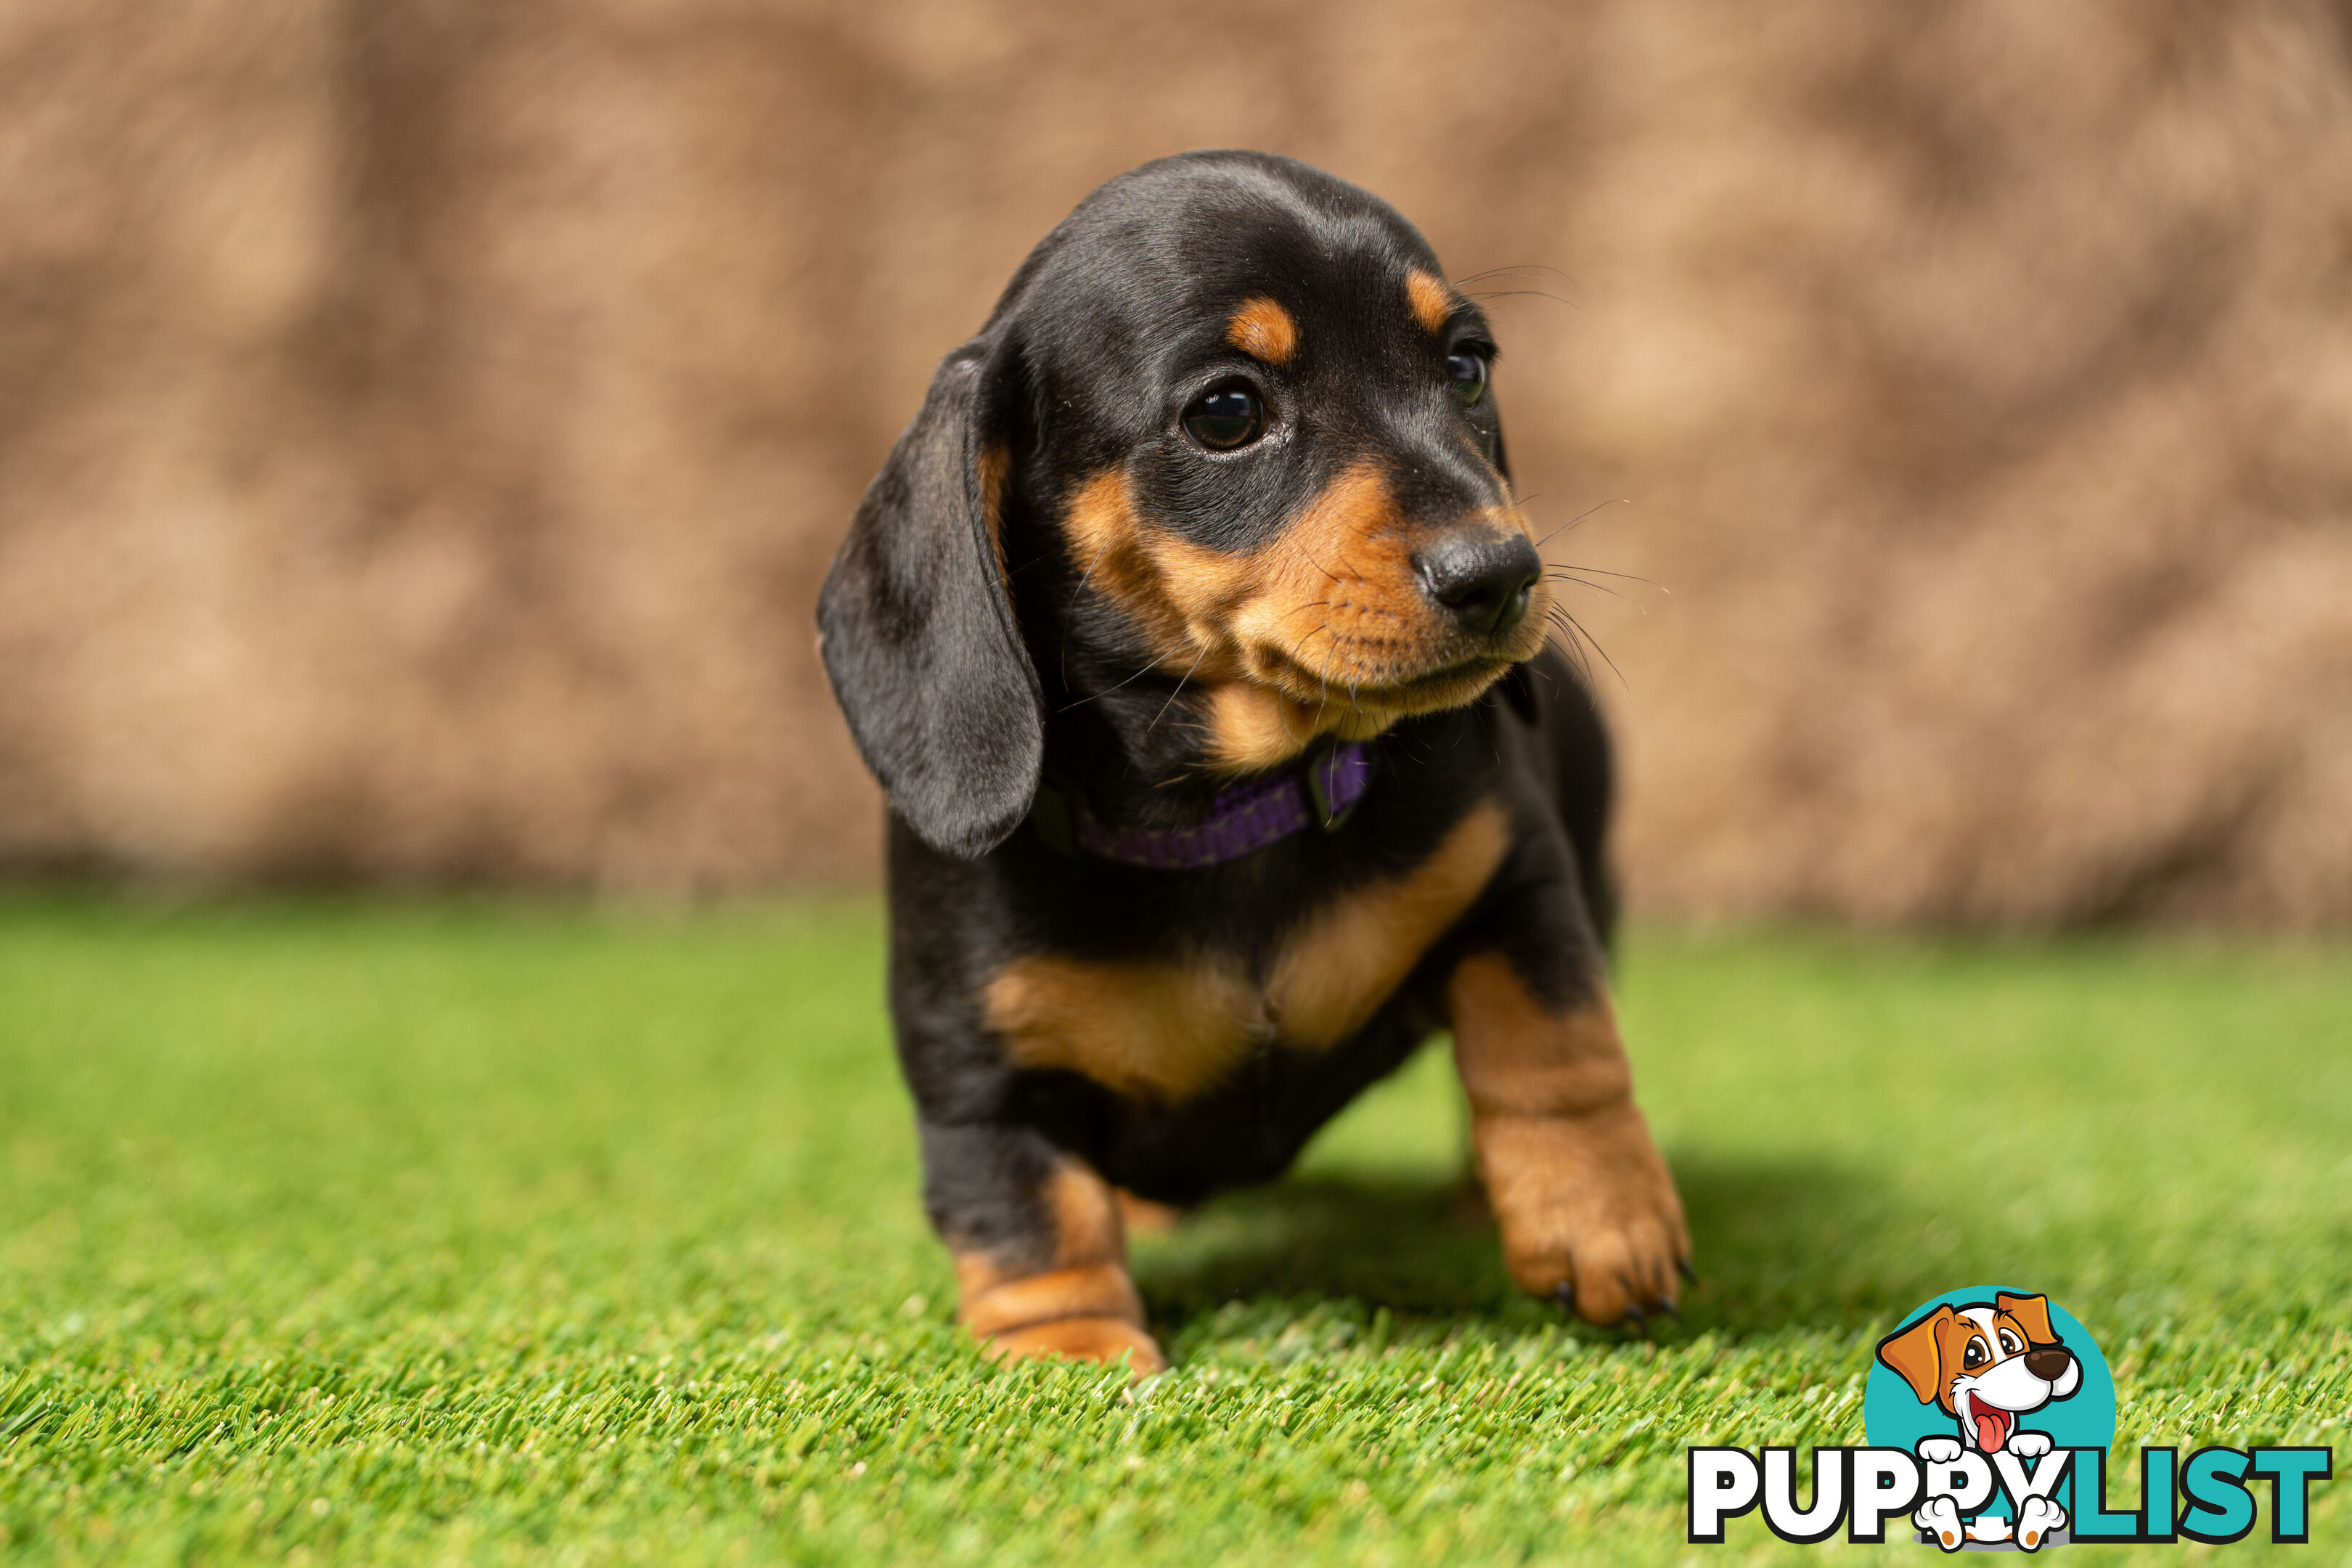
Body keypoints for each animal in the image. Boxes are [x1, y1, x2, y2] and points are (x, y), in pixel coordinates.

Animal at [818, 147, 1683, 1373]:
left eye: (1465, 367)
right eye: (1228, 412)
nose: (1502, 573)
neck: (1236, 810)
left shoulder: (1515, 874)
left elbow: (1552, 1036)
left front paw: (1600, 1217)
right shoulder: (973, 1064)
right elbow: (1026, 1207)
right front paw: (1068, 1356)